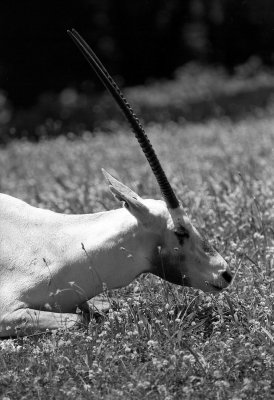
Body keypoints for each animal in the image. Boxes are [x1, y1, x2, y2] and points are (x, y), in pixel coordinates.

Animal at [0, 29, 231, 338]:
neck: (58, 244)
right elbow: (78, 320)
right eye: (180, 231)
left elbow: (100, 308)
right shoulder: (7, 311)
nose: (225, 273)